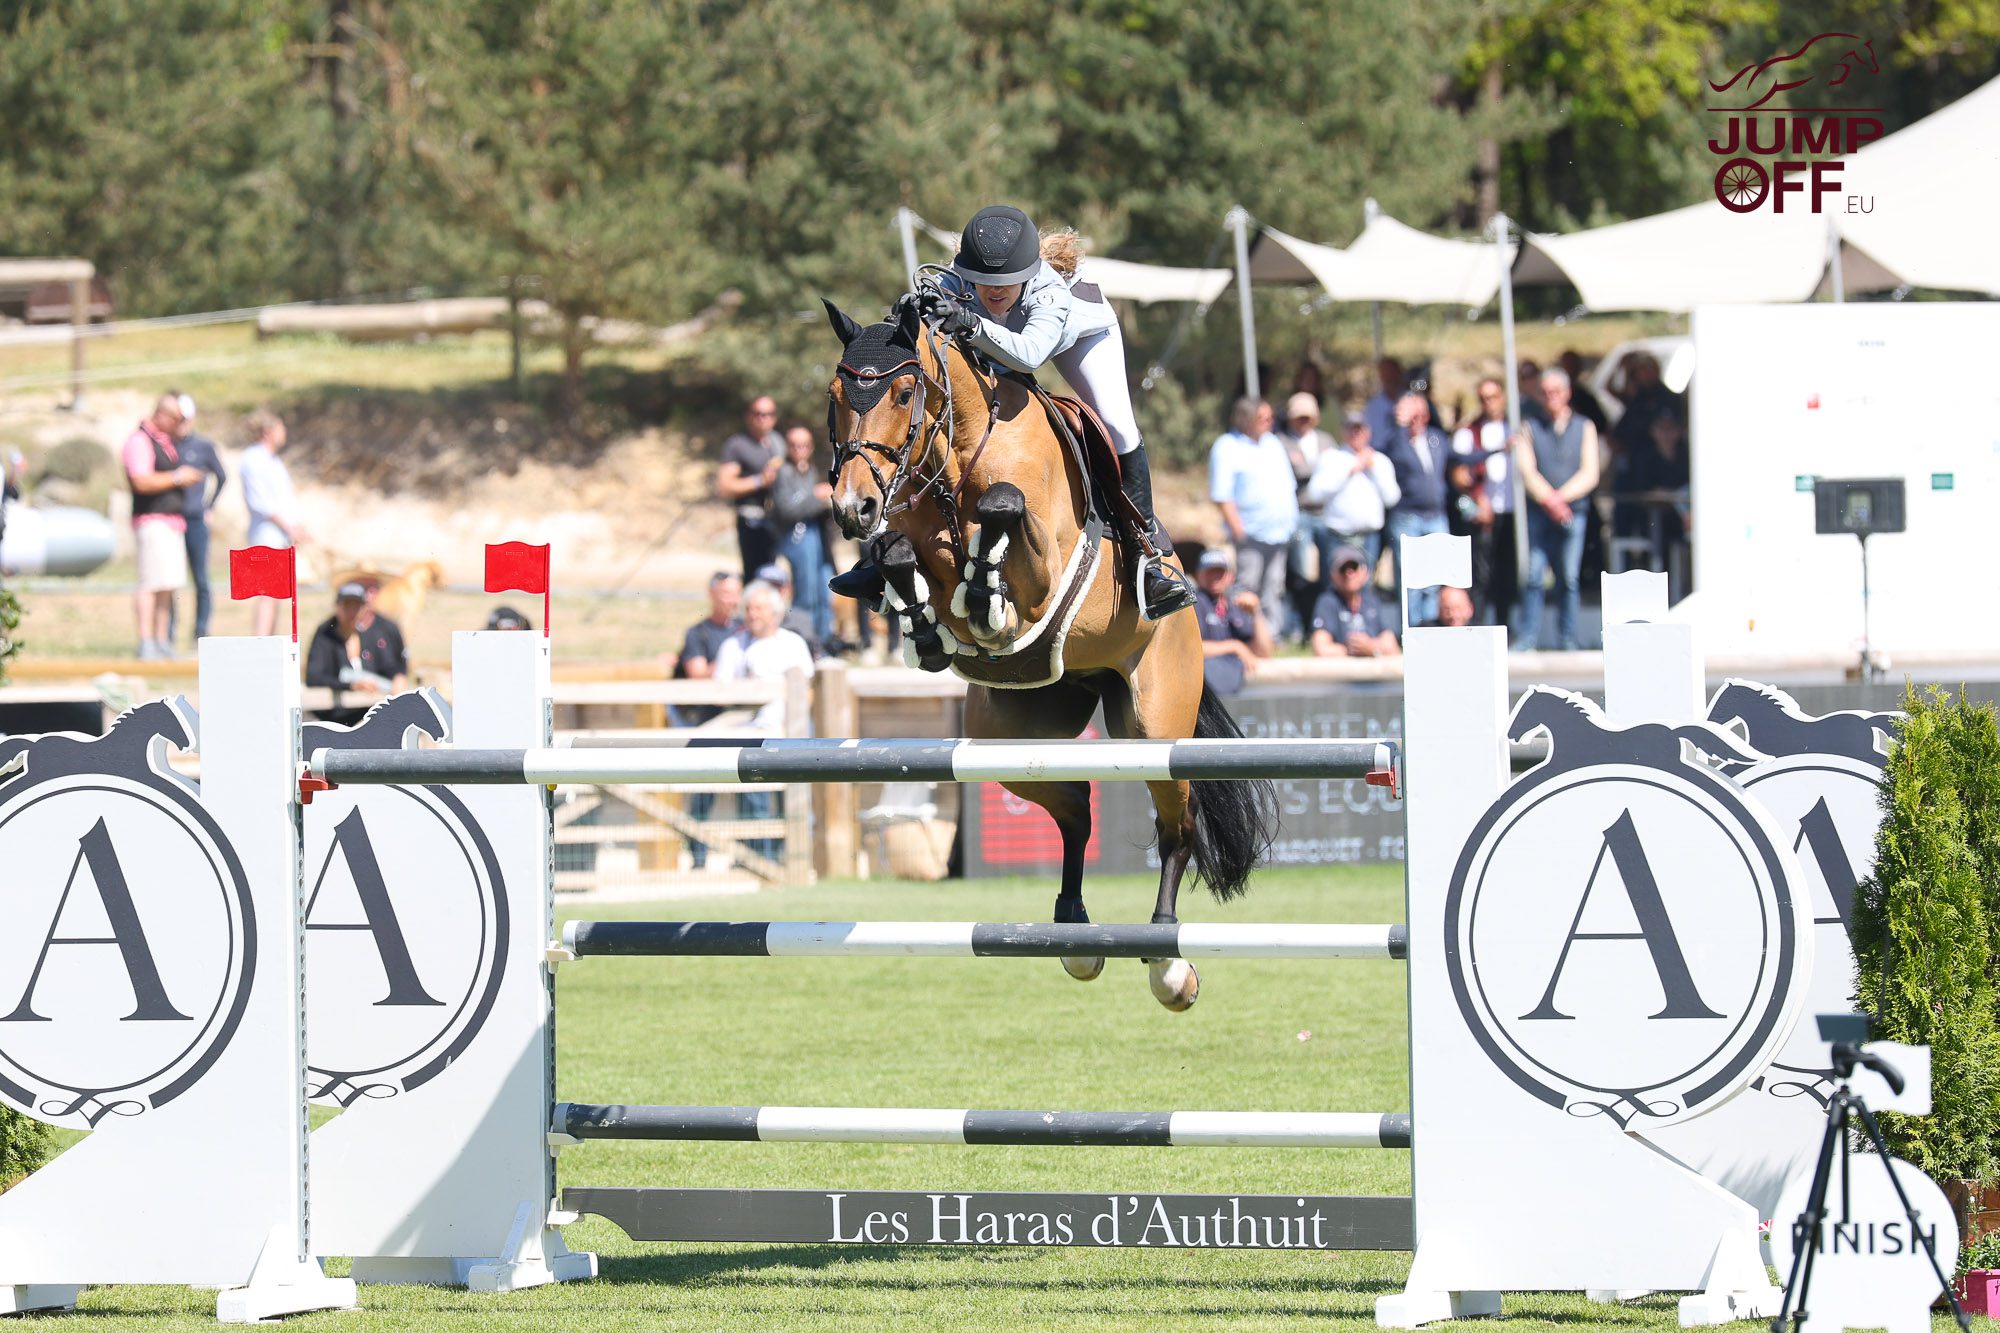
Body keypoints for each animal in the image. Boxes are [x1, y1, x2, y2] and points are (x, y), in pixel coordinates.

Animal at [820, 295, 1274, 1010]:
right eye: (835, 396)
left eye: (902, 391)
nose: (852, 508)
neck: (959, 452)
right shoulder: (911, 534)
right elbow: (898, 556)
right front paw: (925, 625)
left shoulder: (1043, 568)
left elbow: (1003, 513)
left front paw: (984, 595)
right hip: (1009, 740)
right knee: (1076, 804)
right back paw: (1073, 929)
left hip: (1152, 724)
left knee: (1178, 824)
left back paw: (1166, 959)